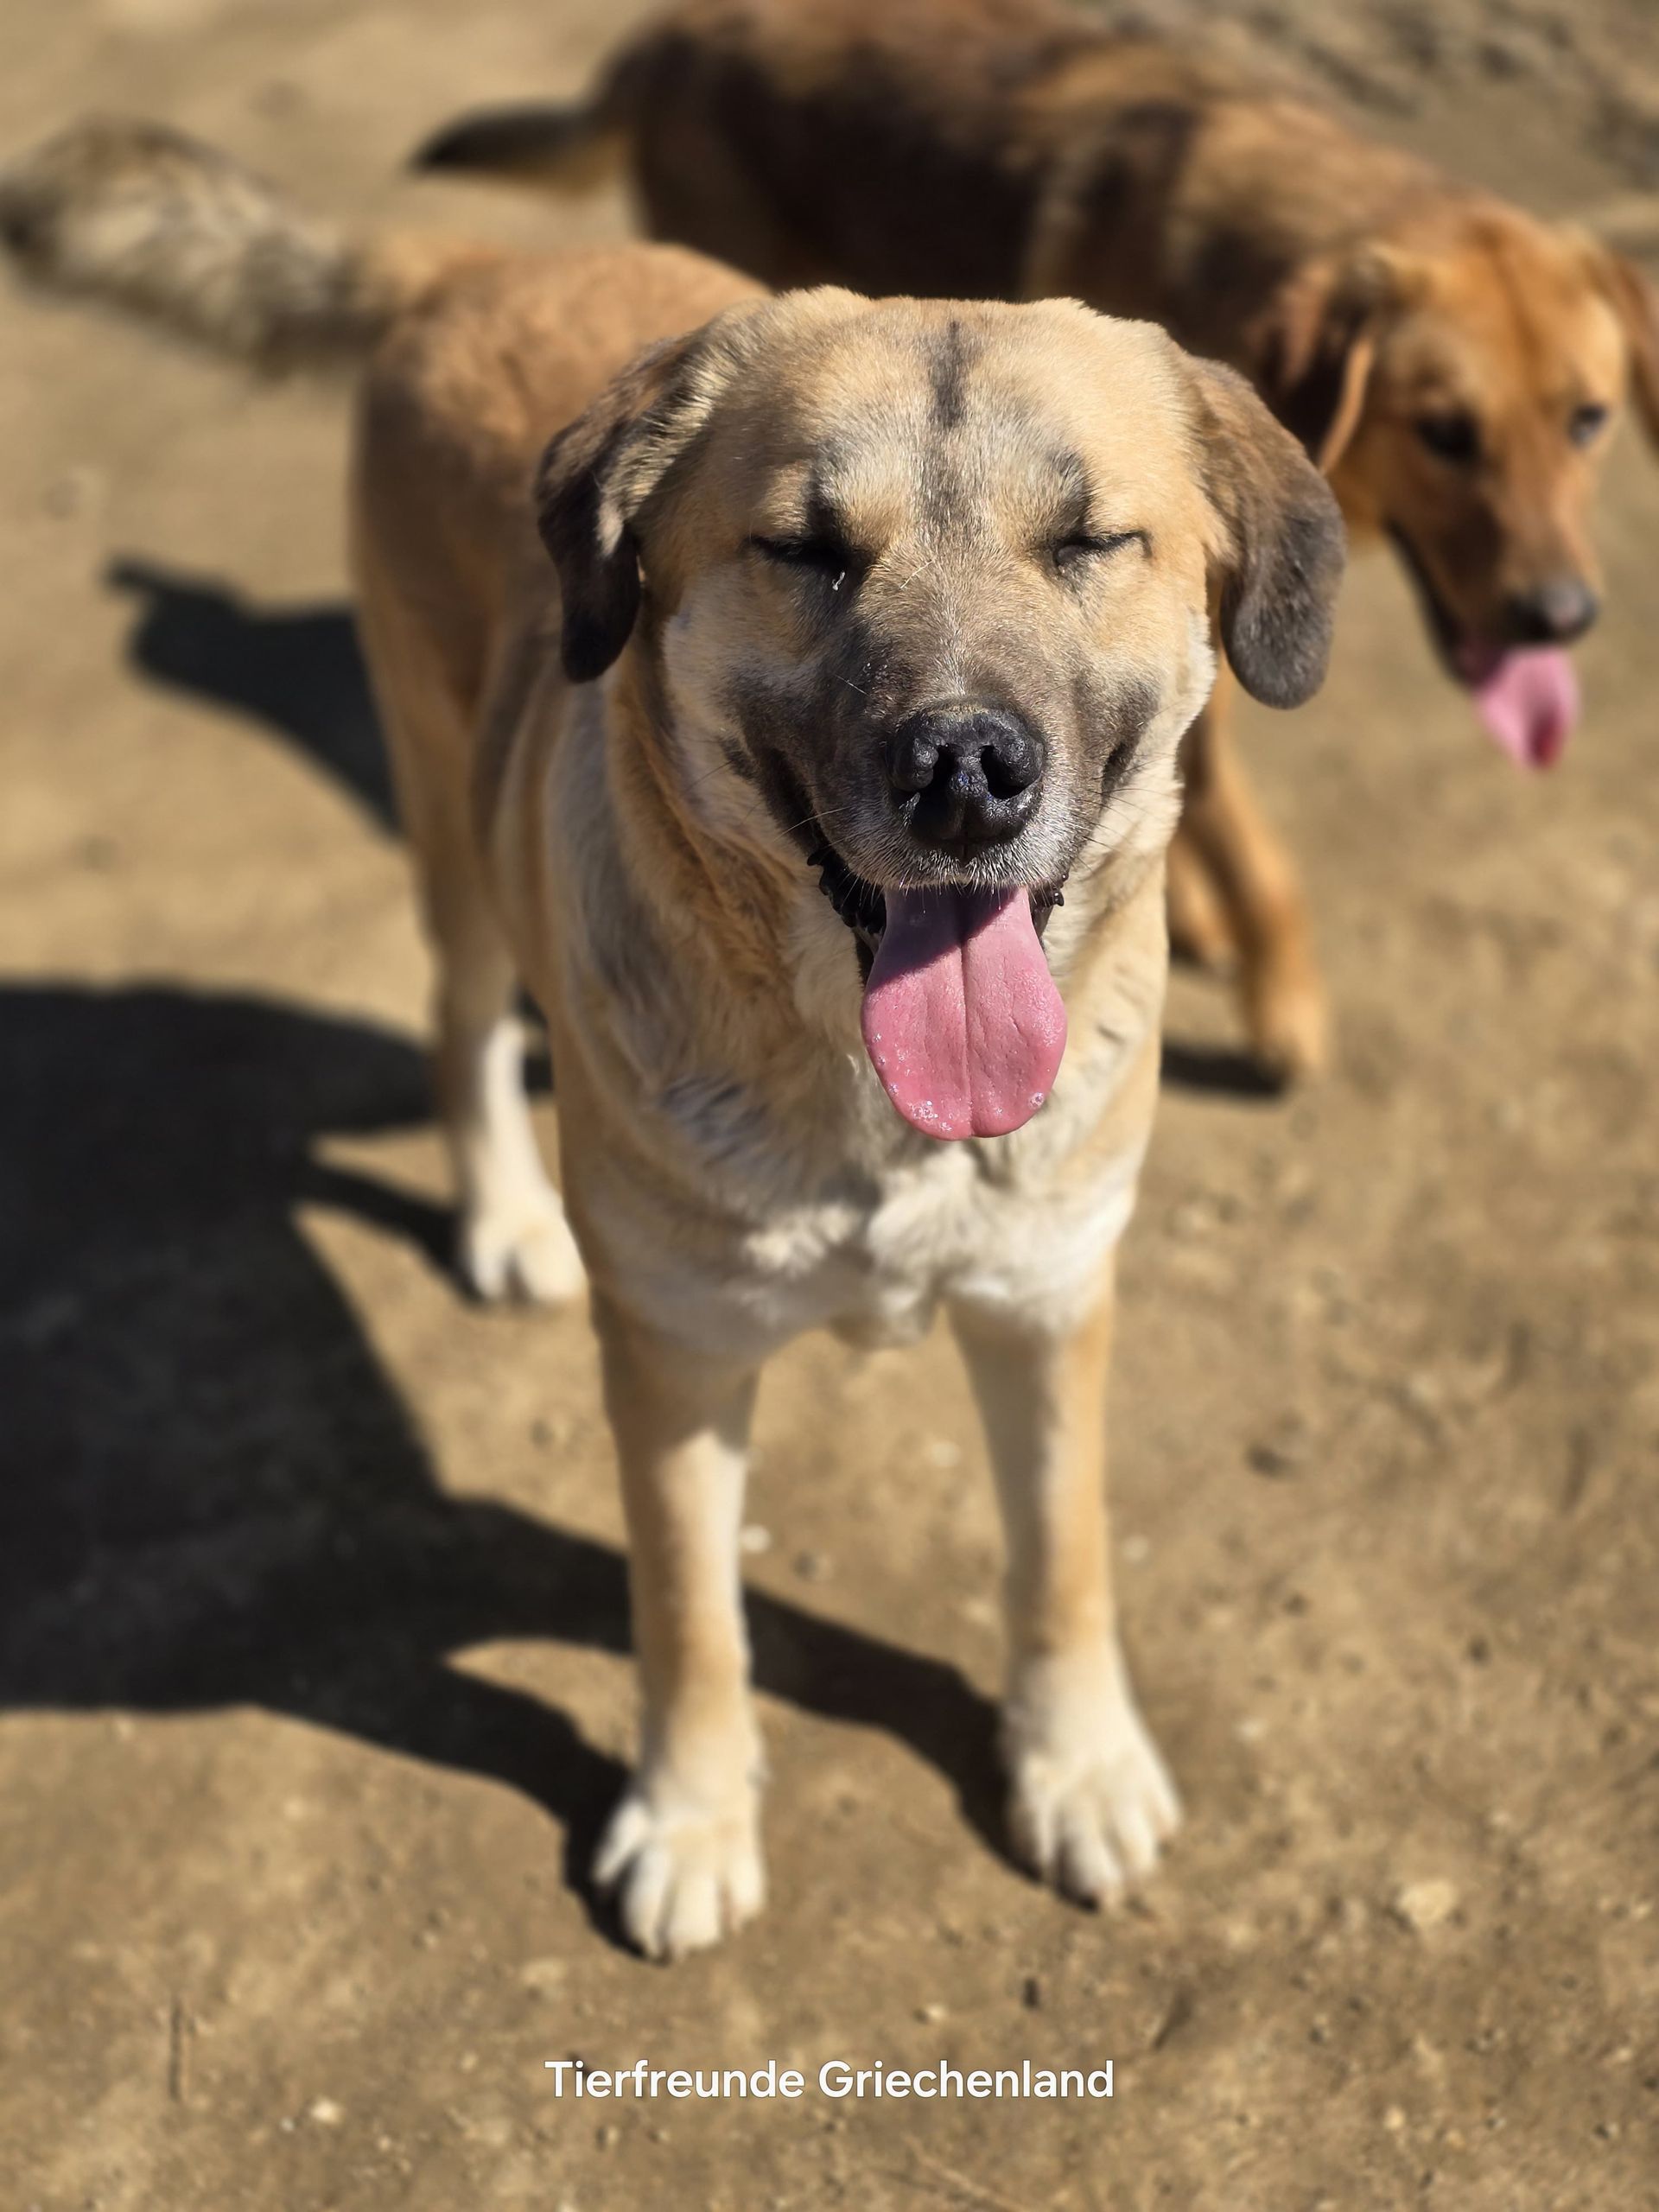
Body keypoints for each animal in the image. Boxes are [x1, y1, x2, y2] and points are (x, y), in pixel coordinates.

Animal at [1, 117, 1342, 1957]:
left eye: (1088, 542)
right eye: (808, 549)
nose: (965, 775)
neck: (868, 1099)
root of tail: (469, 269)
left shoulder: (1049, 1303)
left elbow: (1061, 1560)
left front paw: (1075, 1765)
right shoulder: (676, 1359)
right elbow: (693, 1617)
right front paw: (692, 1821)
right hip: (450, 834)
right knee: (457, 1023)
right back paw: (500, 1211)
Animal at [415, 0, 1659, 1080]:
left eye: (1589, 420)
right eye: (1445, 433)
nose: (1561, 618)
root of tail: (673, 27)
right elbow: (1249, 844)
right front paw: (1283, 997)